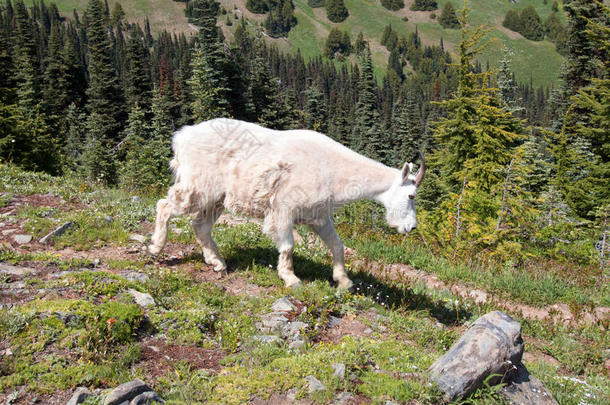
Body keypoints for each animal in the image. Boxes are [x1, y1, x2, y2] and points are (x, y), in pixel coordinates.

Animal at [147, 118, 422, 288]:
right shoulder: (283, 209)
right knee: (165, 205)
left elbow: (337, 245)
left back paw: (218, 263)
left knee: (200, 225)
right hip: (199, 186)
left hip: (217, 198)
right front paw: (291, 279)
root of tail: (182, 137)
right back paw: (156, 247)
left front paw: (344, 281)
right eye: (411, 195)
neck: (332, 170)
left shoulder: (318, 217)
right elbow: (288, 246)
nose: (411, 227)